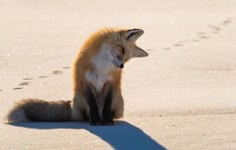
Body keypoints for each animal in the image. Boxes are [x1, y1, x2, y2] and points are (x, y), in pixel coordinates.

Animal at [4, 27, 148, 125]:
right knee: (84, 115)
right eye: (122, 50)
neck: (101, 67)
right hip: (80, 97)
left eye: (127, 58)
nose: (121, 66)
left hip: (118, 100)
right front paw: (95, 122)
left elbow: (107, 104)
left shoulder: (110, 82)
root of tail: (71, 106)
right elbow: (92, 104)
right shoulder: (86, 82)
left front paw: (107, 121)